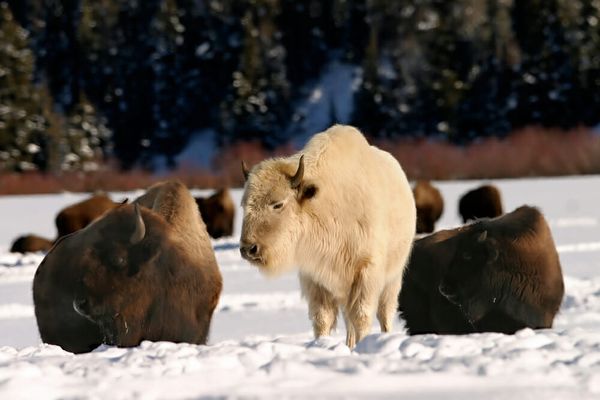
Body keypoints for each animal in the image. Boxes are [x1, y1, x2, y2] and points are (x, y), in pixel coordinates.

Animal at [239, 124, 418, 346]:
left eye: (277, 204)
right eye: (244, 205)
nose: (249, 248)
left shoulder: (366, 272)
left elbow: (362, 316)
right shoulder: (315, 278)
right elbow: (322, 319)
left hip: (392, 279)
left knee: (384, 315)